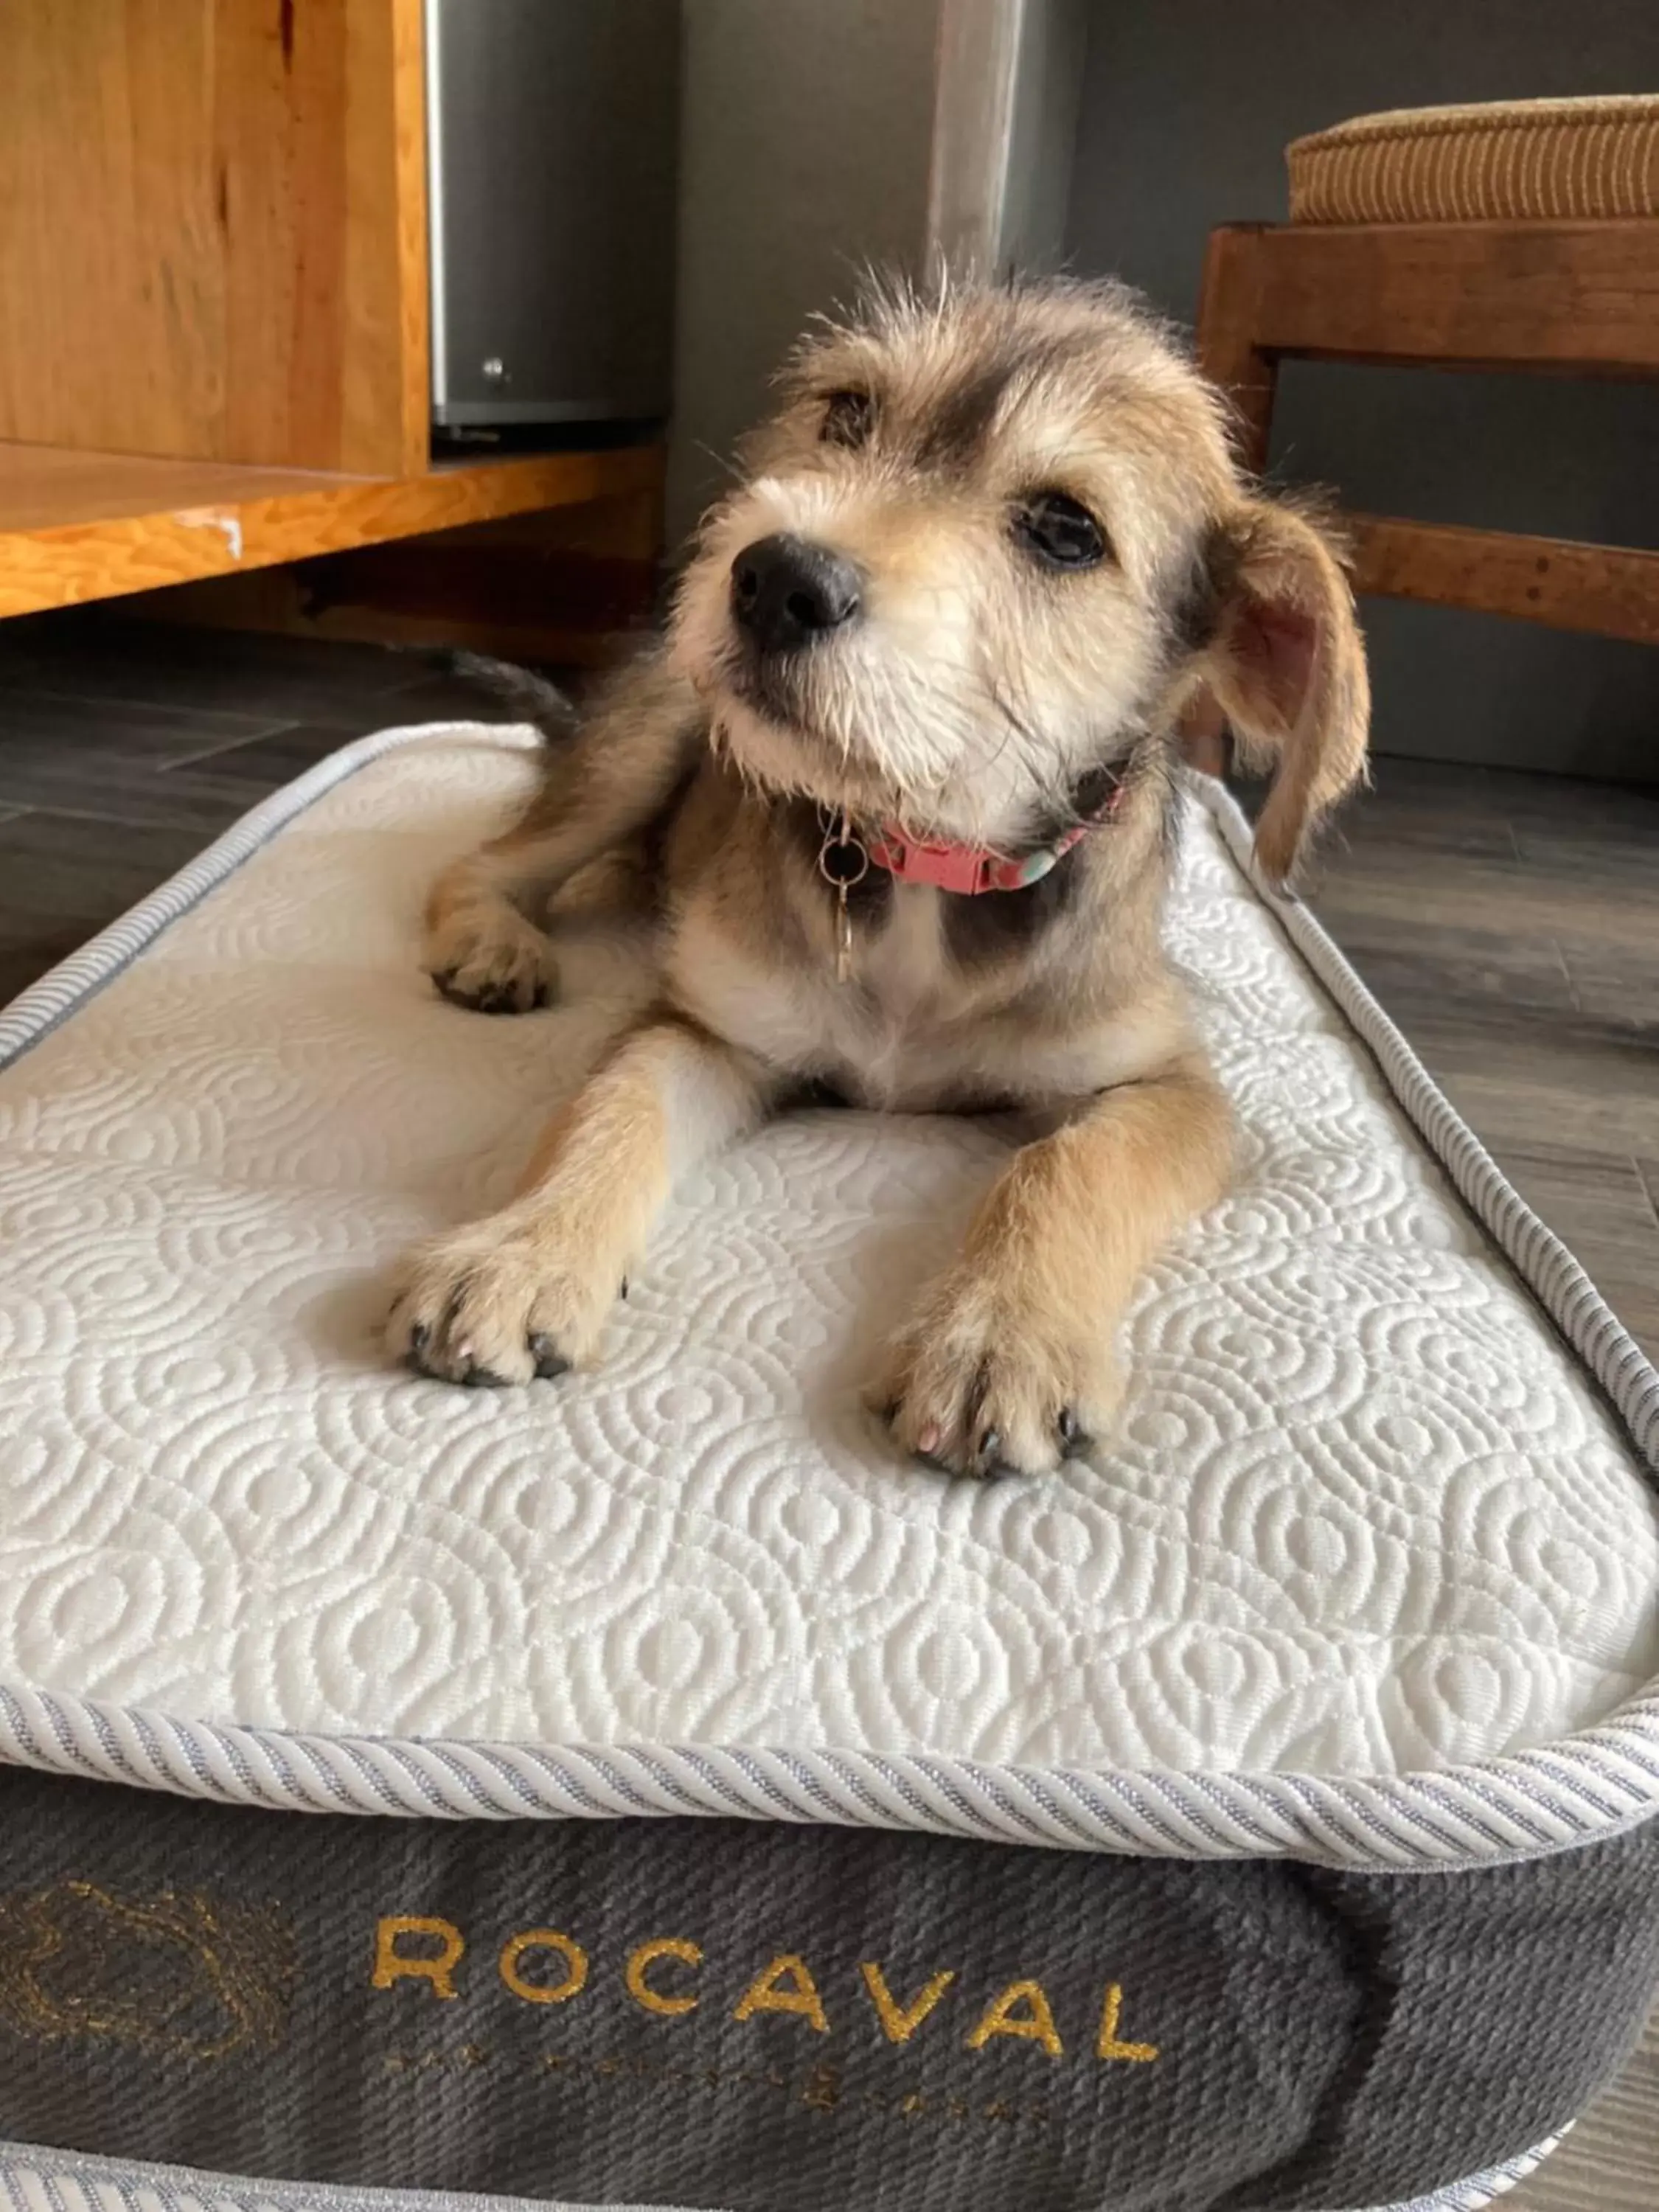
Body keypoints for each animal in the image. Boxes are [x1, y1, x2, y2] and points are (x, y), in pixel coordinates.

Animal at [394, 272, 1380, 1469]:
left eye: (1066, 530)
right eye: (848, 416)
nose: (774, 577)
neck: (926, 855)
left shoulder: (1167, 1088)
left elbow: (1064, 1168)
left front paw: (1002, 1334)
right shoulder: (709, 1027)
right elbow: (606, 1112)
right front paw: (521, 1253)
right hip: (652, 738)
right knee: (484, 863)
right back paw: (495, 942)